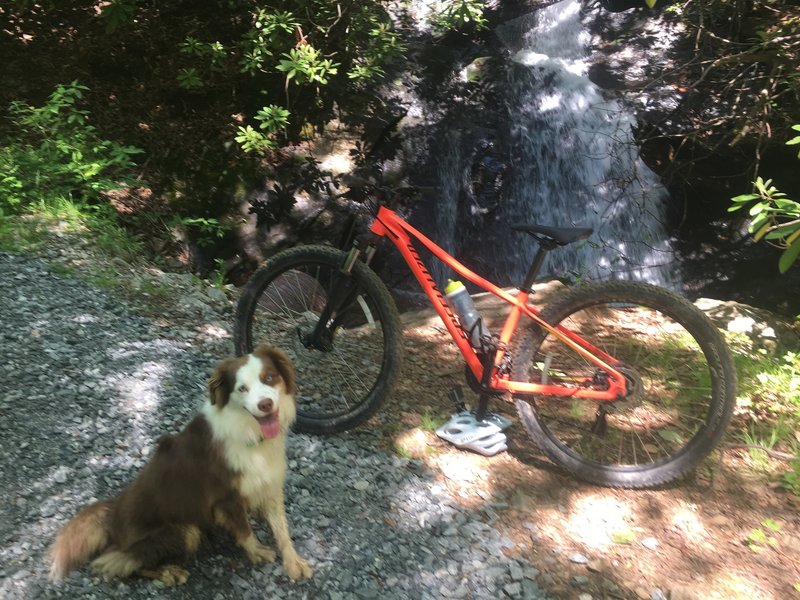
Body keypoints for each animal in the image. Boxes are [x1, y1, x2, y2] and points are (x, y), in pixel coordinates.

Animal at [48, 344, 312, 584]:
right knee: (121, 562)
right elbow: (244, 530)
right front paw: (257, 552)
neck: (248, 433)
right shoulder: (226, 499)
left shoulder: (269, 484)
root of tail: (111, 514)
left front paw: (293, 561)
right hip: (185, 531)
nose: (265, 404)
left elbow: (281, 528)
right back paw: (168, 572)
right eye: (242, 389)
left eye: (269, 378)